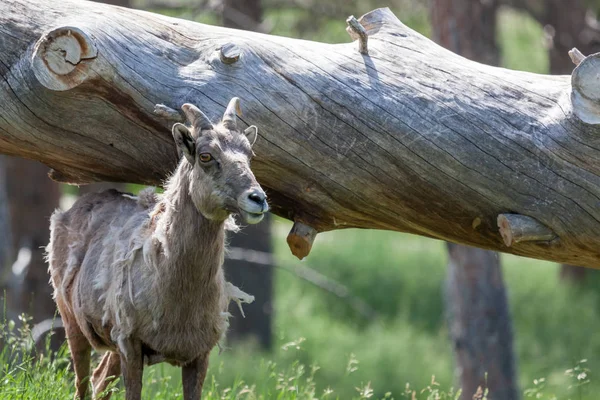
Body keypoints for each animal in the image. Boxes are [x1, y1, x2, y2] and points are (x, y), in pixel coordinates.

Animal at [47, 97, 270, 400]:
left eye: (249, 154)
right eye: (205, 156)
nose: (257, 199)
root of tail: (64, 214)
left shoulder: (198, 356)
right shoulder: (131, 346)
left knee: (99, 380)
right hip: (73, 324)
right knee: (82, 383)